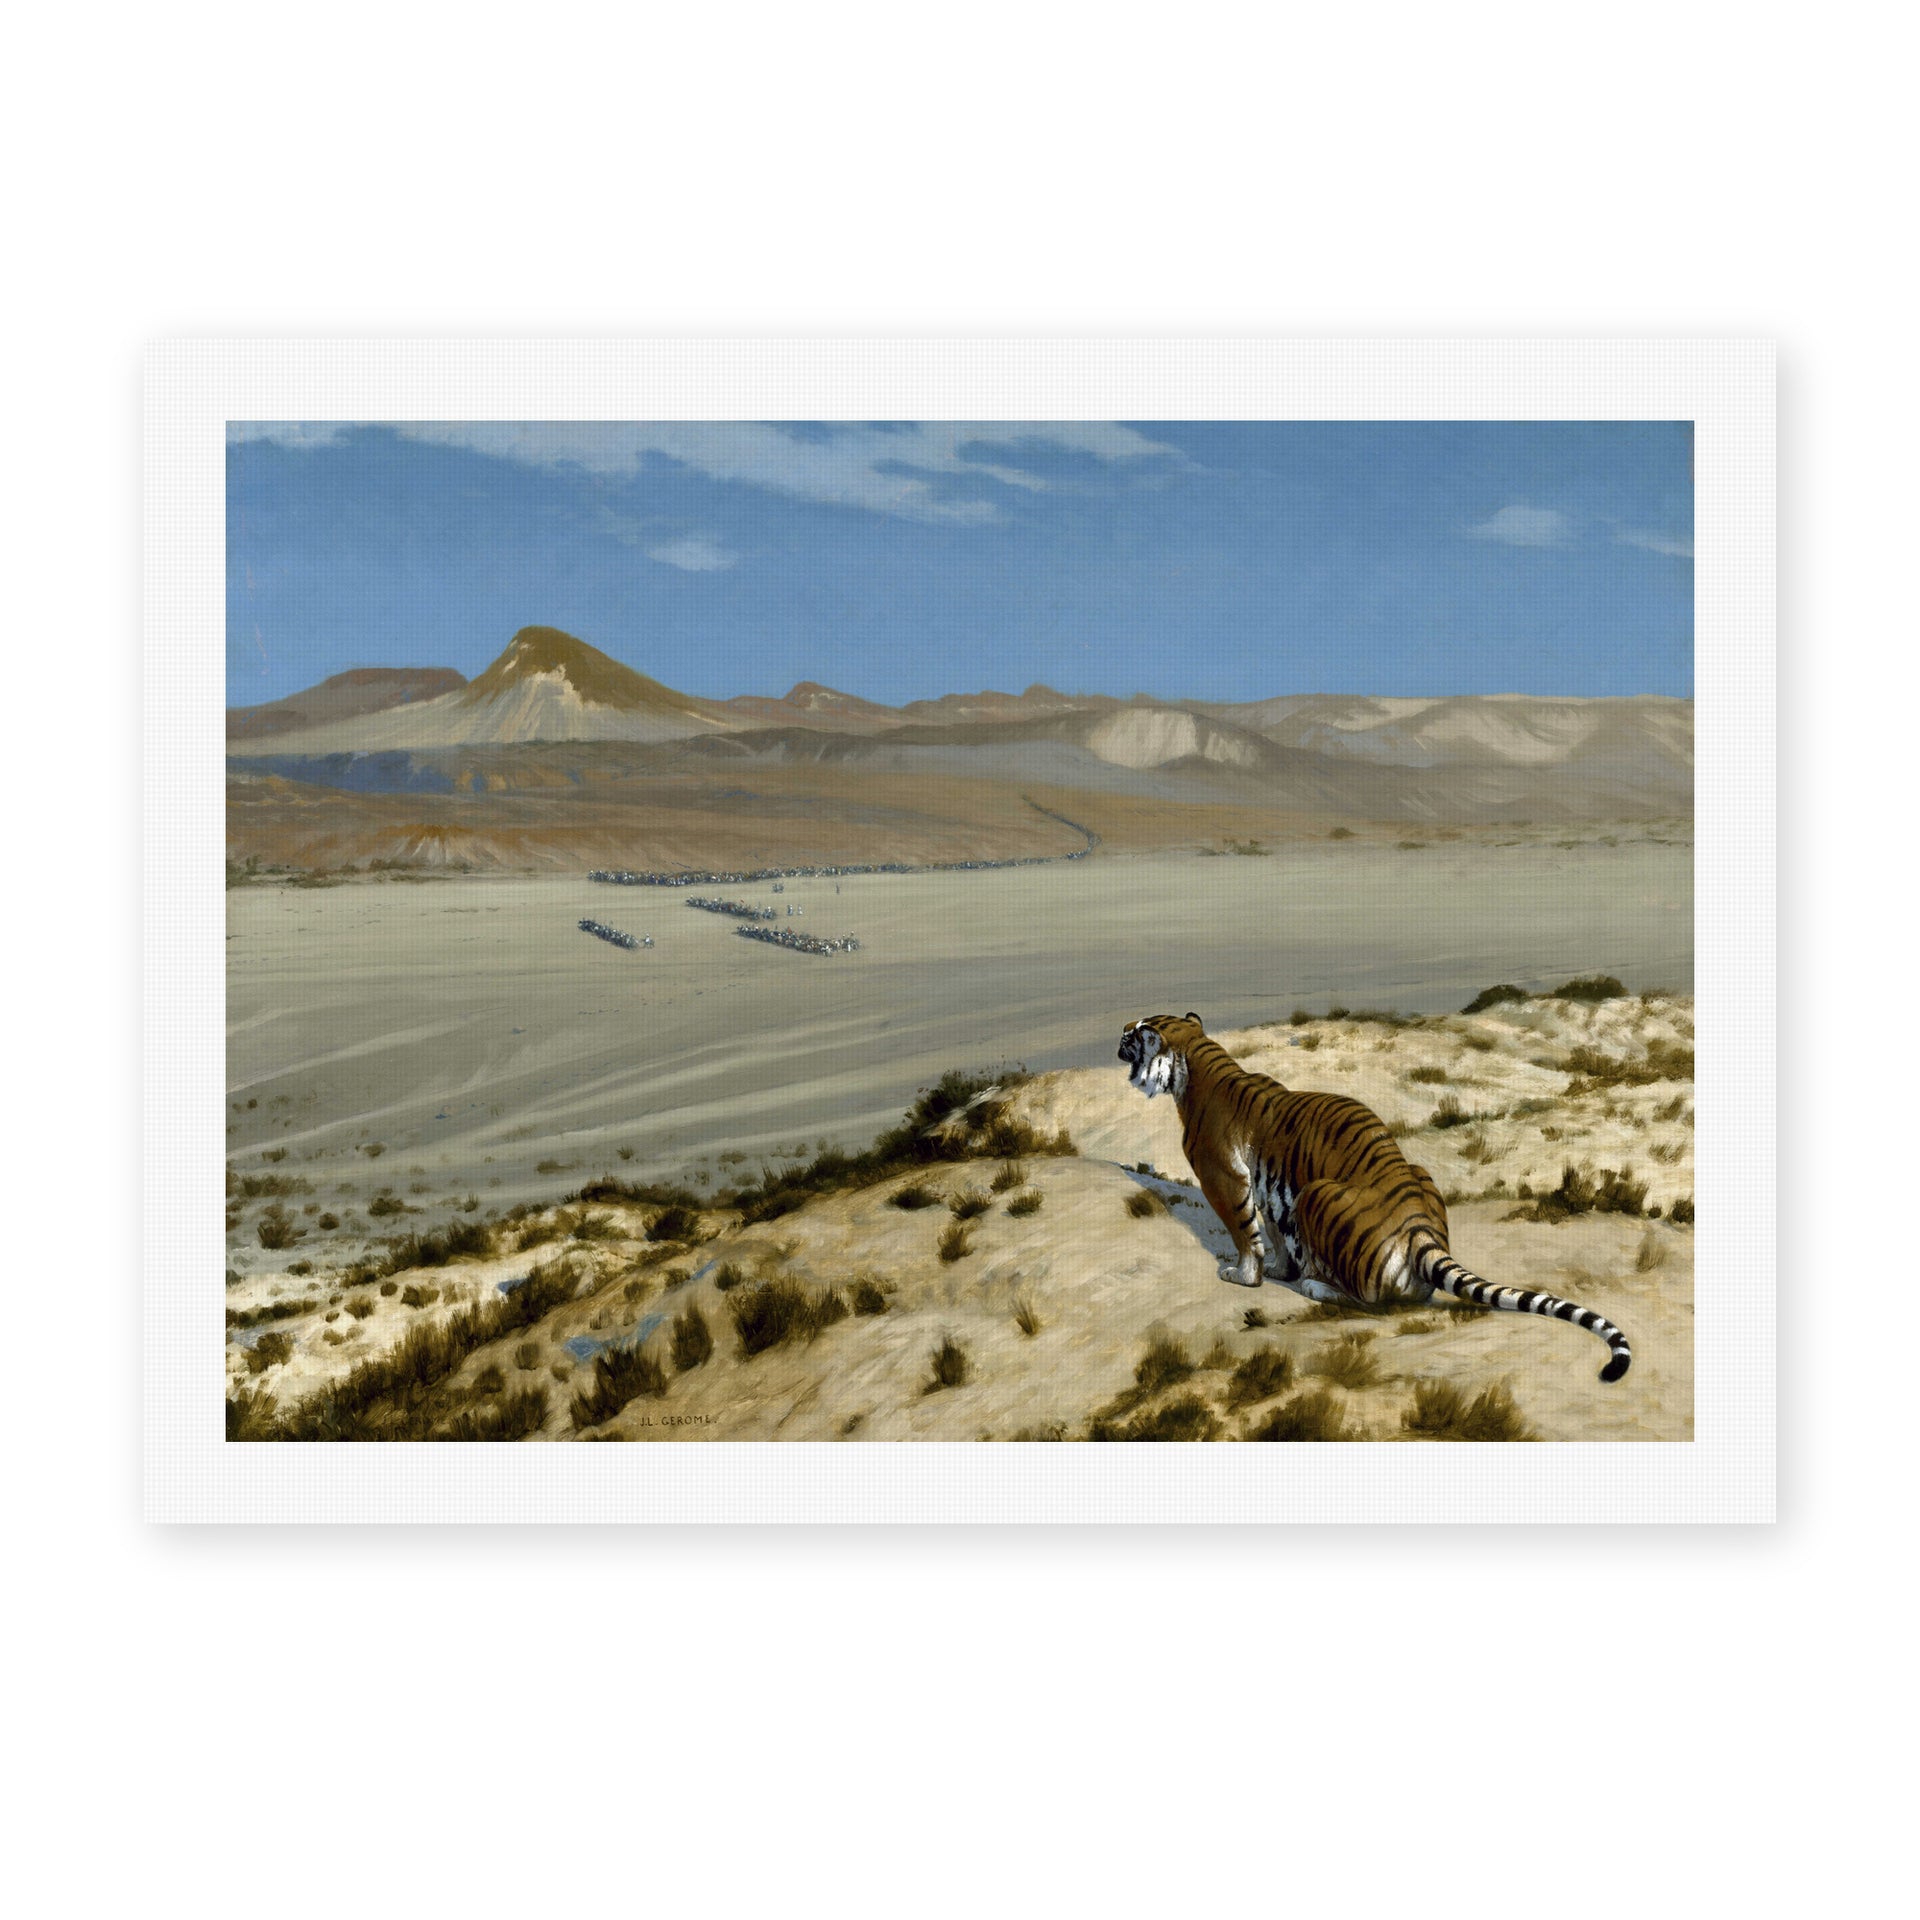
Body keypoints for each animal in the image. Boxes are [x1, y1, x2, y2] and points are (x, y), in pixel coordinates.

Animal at [1118, 1012, 1632, 1381]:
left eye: (1136, 1032)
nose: (1117, 1036)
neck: (1196, 1063)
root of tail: (1420, 1229)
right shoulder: (1268, 1189)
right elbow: (1275, 1232)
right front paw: (1280, 1269)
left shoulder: (1224, 1178)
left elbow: (1246, 1233)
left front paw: (1244, 1277)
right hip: (1406, 1178)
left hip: (1316, 1194)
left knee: (1370, 1302)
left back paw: (1315, 1285)